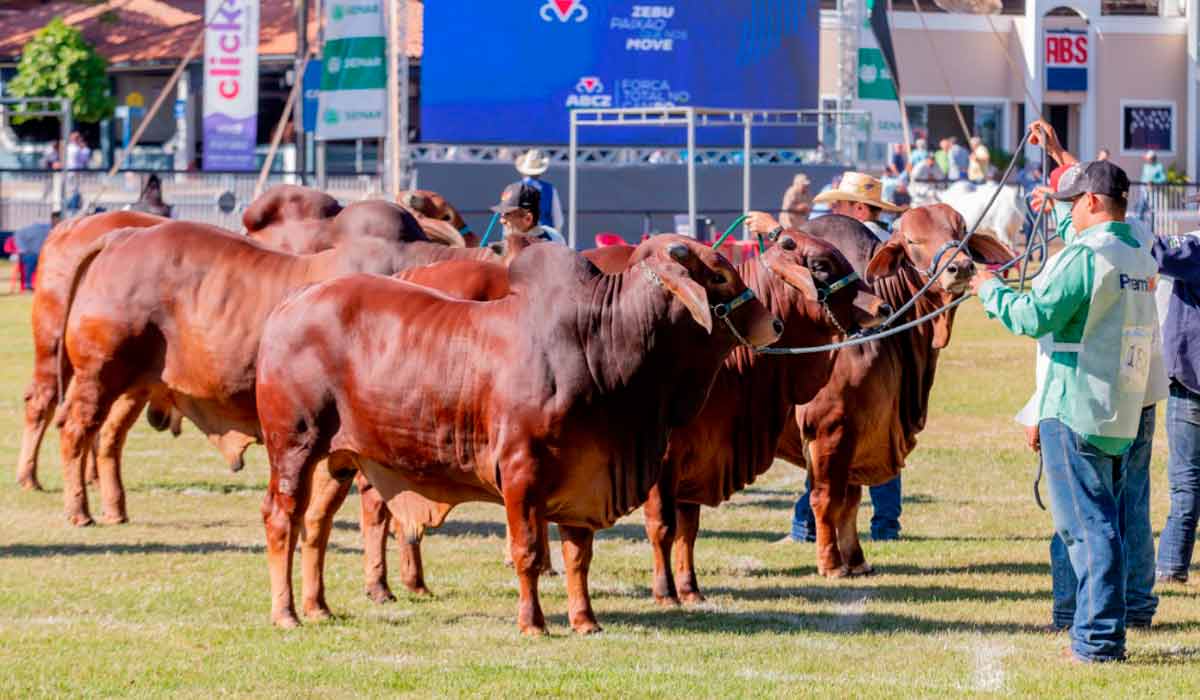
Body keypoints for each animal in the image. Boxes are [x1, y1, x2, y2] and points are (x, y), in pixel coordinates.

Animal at [252, 236, 777, 633]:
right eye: (719, 276)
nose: (773, 322)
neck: (600, 343)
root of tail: (290, 304)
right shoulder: (522, 470)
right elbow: (527, 551)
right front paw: (534, 622)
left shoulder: (586, 473)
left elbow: (577, 556)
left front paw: (585, 621)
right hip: (293, 445)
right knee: (282, 518)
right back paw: (286, 612)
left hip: (338, 458)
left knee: (316, 523)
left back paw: (318, 606)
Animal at [777, 205, 1012, 578]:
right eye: (912, 241)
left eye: (961, 231)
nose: (960, 267)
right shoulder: (829, 427)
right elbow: (826, 498)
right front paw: (832, 564)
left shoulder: (858, 430)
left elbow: (851, 500)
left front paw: (856, 560)